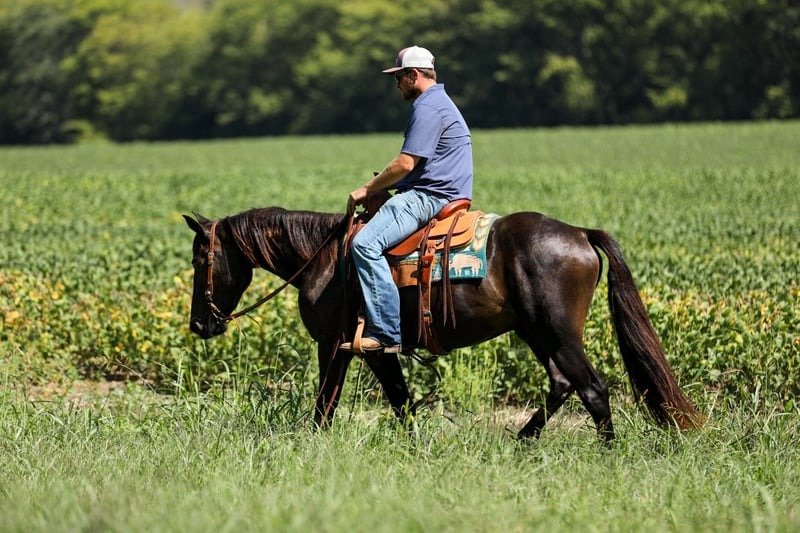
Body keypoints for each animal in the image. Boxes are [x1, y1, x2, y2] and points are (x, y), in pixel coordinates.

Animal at [184, 207, 702, 441]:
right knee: (562, 384)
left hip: (557, 332)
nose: (199, 325)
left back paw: (605, 451)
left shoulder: (332, 345)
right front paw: (413, 446)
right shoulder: (375, 349)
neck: (322, 259)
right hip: (534, 332)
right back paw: (523, 439)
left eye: (200, 259)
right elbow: (399, 399)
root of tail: (578, 233)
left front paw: (312, 443)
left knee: (592, 388)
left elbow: (325, 402)